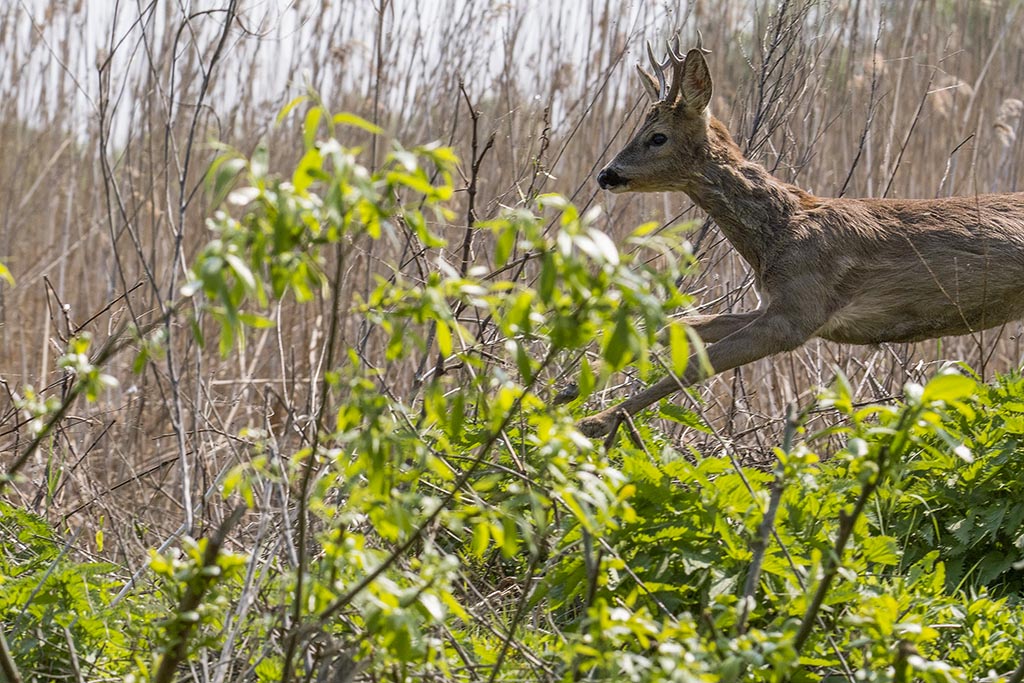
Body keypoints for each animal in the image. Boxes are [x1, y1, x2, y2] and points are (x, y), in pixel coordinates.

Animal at [577, 36, 1024, 438]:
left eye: (657, 137)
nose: (606, 175)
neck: (778, 233)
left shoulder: (798, 312)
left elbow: (694, 365)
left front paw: (596, 420)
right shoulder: (774, 302)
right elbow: (684, 322)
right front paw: (577, 376)